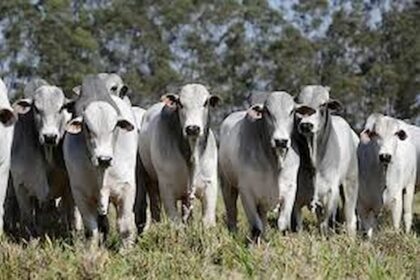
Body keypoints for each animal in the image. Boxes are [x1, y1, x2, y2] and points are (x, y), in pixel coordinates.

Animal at [10, 78, 76, 234]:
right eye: (36, 109)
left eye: (61, 108)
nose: (49, 137)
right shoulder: (21, 186)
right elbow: (27, 220)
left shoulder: (70, 187)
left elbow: (72, 216)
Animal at [137, 83, 220, 228]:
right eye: (180, 103)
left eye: (206, 102)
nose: (192, 128)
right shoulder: (167, 188)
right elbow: (176, 222)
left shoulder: (210, 184)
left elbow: (207, 220)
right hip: (149, 180)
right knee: (155, 207)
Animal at [218, 91, 300, 241]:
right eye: (267, 112)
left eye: (292, 111)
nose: (281, 141)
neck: (273, 164)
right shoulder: (247, 192)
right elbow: (256, 226)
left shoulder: (290, 189)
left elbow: (282, 223)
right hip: (227, 184)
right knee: (232, 211)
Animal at [292, 85, 358, 236]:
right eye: (300, 106)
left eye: (323, 104)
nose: (306, 125)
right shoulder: (296, 200)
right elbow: (298, 227)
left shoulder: (330, 195)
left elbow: (324, 225)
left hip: (350, 183)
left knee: (350, 218)